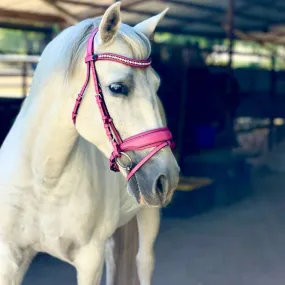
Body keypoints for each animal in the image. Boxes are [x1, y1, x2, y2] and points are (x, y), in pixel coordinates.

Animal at [0, 2, 179, 284]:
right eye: (117, 87)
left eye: (157, 85)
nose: (167, 178)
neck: (43, 179)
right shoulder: (9, 258)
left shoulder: (89, 259)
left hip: (148, 214)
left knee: (144, 262)